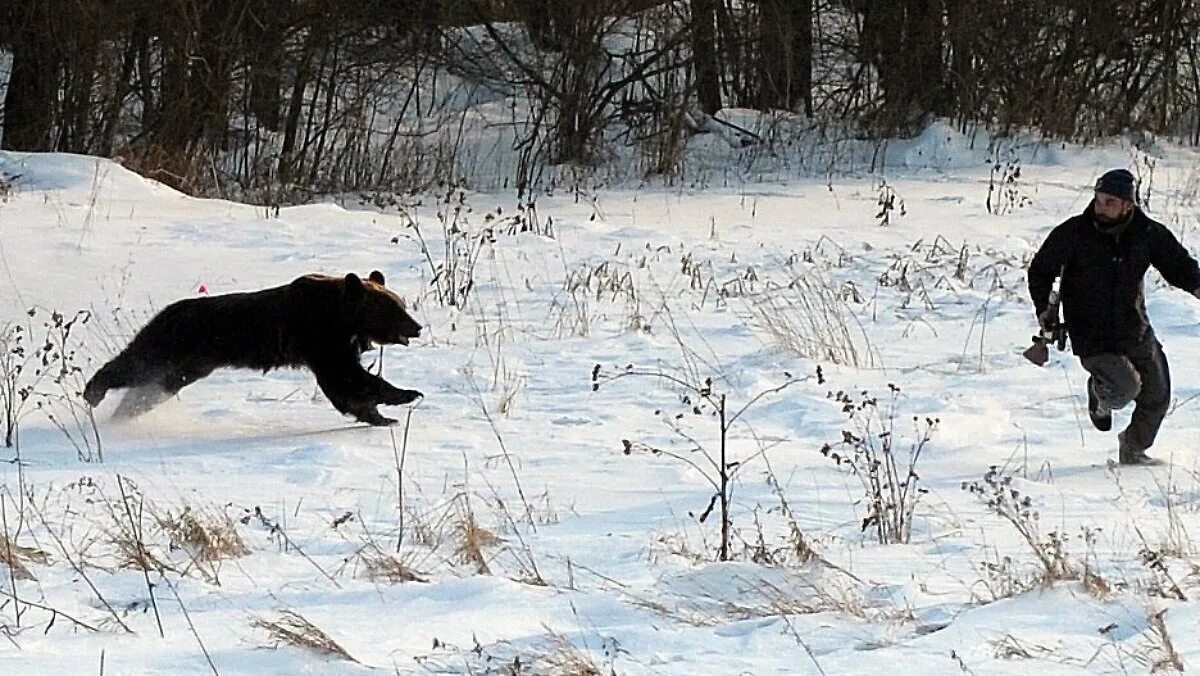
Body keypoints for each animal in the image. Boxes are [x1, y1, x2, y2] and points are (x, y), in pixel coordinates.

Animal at [84, 270, 424, 422]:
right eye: (393, 309)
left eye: (401, 303)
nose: (417, 327)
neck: (341, 319)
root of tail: (167, 311)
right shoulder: (320, 340)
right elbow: (348, 378)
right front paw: (406, 395)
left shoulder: (335, 345)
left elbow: (346, 384)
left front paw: (379, 414)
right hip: (170, 347)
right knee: (133, 365)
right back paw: (93, 393)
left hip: (189, 366)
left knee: (154, 388)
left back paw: (124, 412)